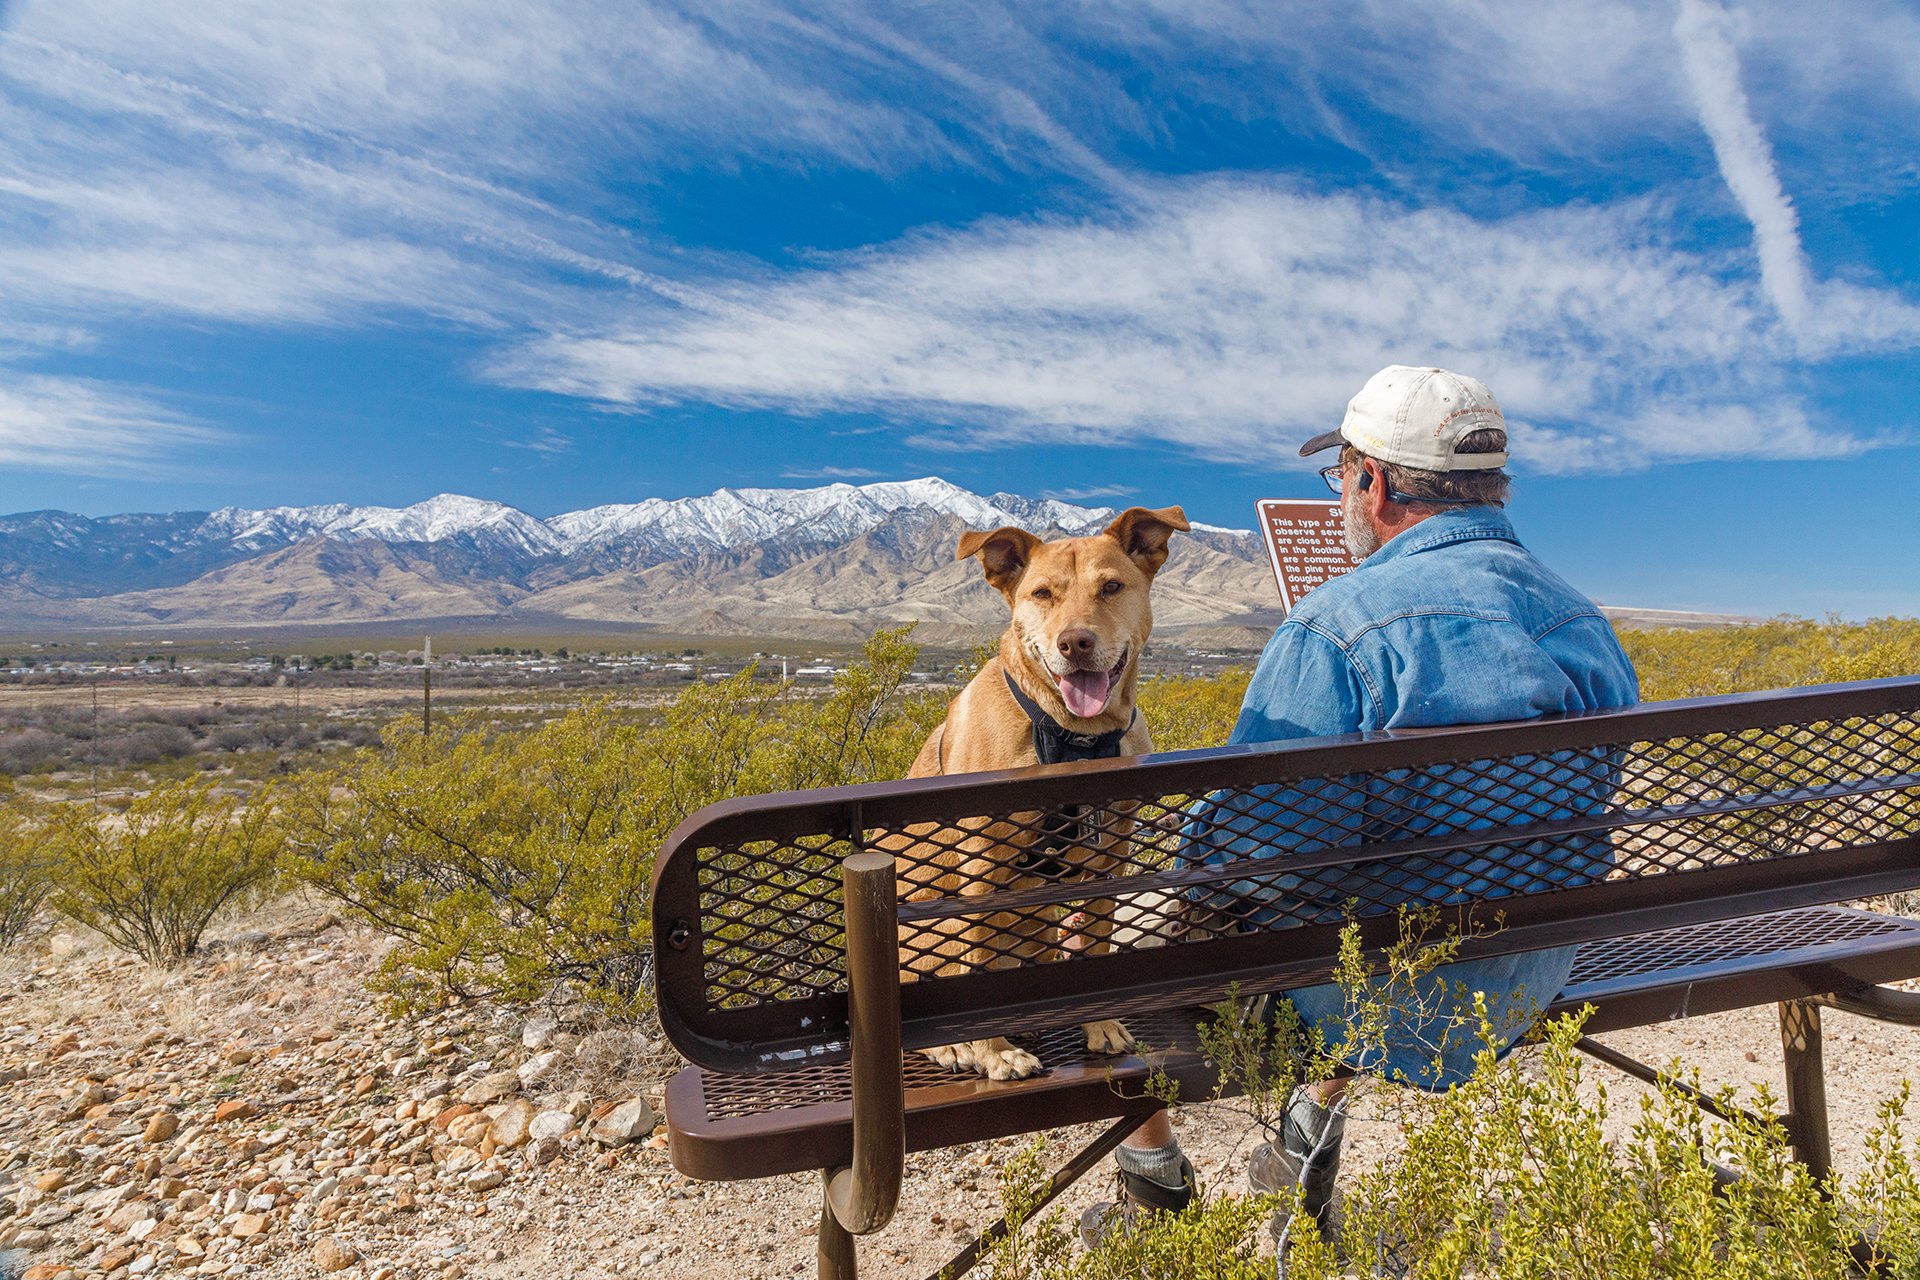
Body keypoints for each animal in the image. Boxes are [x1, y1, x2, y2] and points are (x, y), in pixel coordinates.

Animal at [890, 506, 1190, 1074]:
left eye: (1111, 587)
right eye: (1042, 594)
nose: (1075, 643)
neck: (1077, 736)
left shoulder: (1109, 859)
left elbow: (1095, 944)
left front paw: (1099, 1024)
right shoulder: (982, 866)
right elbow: (977, 964)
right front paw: (995, 1054)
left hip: (1044, 923)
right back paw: (954, 1044)